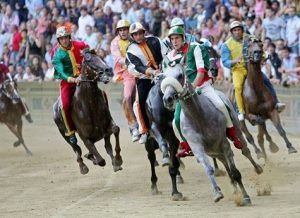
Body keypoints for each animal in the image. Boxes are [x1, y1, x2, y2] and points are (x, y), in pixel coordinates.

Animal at [161, 62, 262, 205]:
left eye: (180, 75)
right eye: (163, 76)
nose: (168, 99)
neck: (198, 116)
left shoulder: (224, 143)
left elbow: (235, 172)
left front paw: (246, 197)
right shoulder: (197, 147)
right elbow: (209, 169)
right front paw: (217, 193)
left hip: (235, 131)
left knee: (245, 150)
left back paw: (257, 168)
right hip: (214, 151)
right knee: (225, 163)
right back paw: (235, 189)